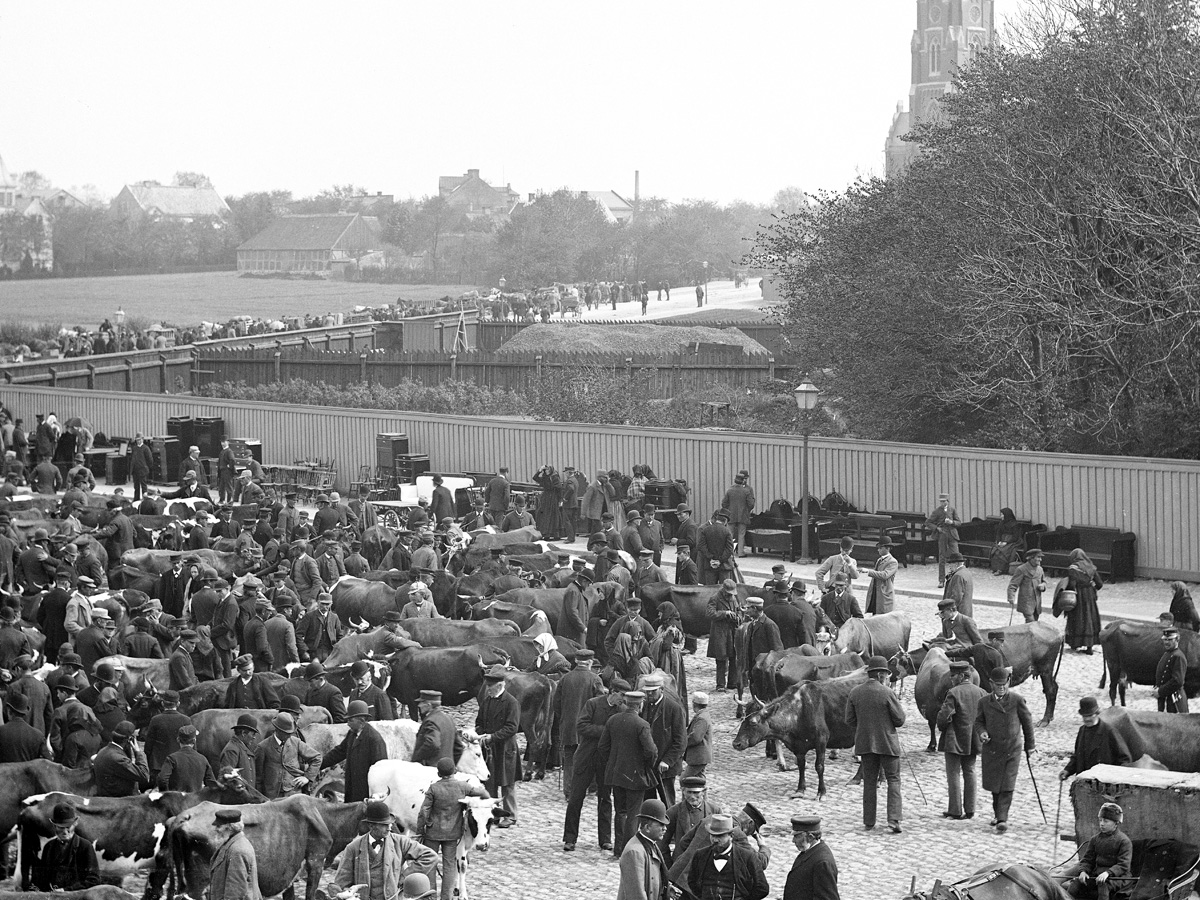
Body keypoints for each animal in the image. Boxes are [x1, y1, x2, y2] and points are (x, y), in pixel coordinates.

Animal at [362, 763, 499, 900]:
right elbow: (462, 865)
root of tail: (378, 764)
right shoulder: (459, 841)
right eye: (472, 818)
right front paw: (463, 894)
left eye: (490, 820)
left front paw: (456, 889)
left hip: (402, 825)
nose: (482, 846)